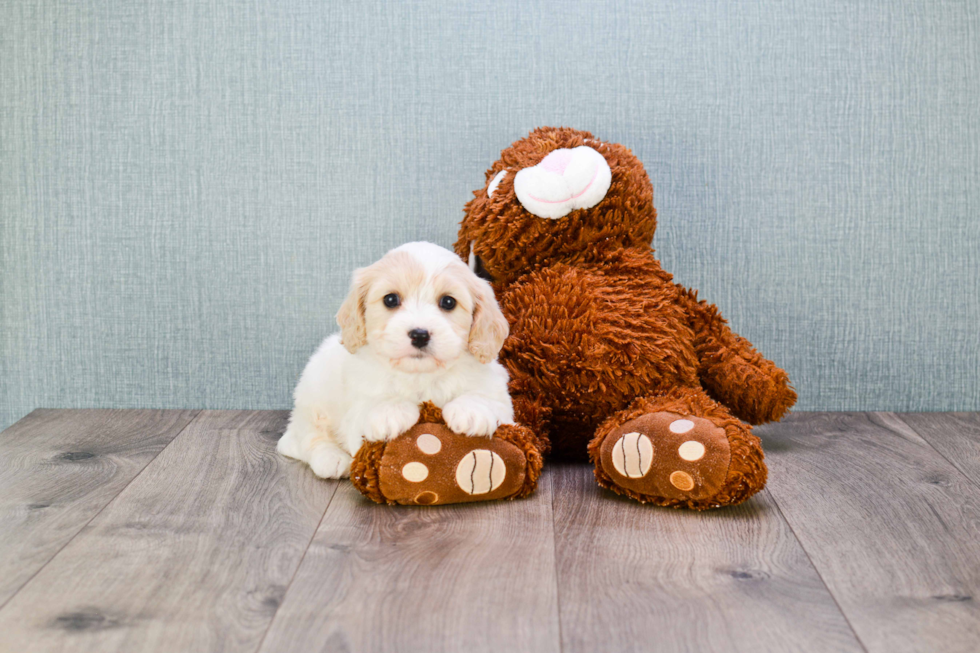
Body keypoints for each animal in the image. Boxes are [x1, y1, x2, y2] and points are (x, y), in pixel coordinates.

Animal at [276, 242, 512, 476]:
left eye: (448, 302)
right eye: (390, 299)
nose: (419, 334)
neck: (420, 375)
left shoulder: (501, 399)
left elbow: (487, 398)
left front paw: (471, 410)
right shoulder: (356, 408)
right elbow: (371, 405)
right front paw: (389, 412)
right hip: (312, 397)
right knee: (304, 438)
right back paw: (331, 458)